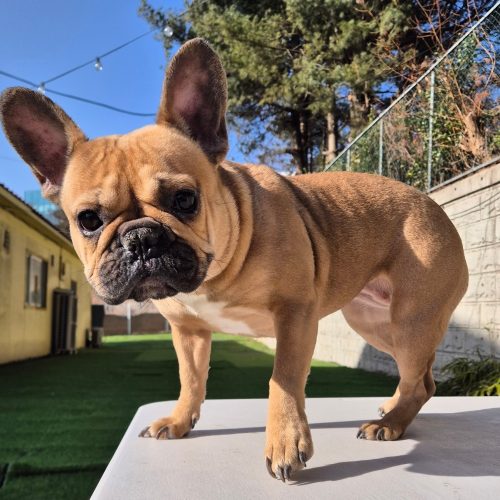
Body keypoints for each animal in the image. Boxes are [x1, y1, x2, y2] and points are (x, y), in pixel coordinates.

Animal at [0, 38, 468, 482]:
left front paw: (285, 442)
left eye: (184, 199)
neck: (217, 270)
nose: (142, 238)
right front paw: (180, 420)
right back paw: (391, 409)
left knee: (418, 377)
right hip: (373, 321)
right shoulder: (188, 331)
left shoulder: (295, 315)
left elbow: (283, 379)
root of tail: (434, 207)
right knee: (419, 376)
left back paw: (391, 424)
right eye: (88, 220)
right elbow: (191, 379)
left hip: (411, 319)